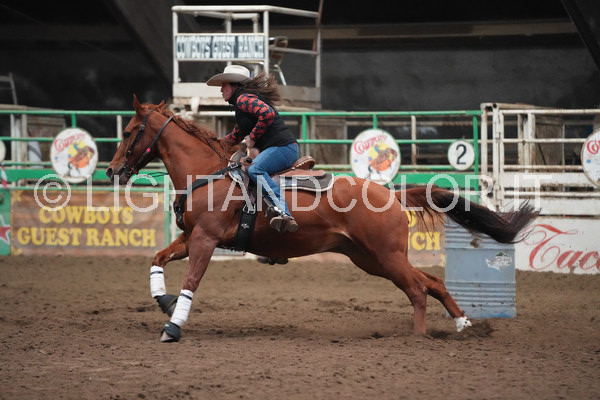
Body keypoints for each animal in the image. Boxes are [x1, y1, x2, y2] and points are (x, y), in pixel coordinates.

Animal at [107, 96, 539, 342]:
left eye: (129, 131)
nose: (112, 170)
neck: (209, 174)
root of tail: (390, 194)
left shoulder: (206, 241)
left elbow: (192, 282)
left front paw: (173, 327)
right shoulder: (189, 238)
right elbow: (157, 260)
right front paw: (164, 302)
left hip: (386, 256)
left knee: (418, 289)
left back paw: (419, 340)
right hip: (372, 259)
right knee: (431, 282)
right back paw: (462, 324)